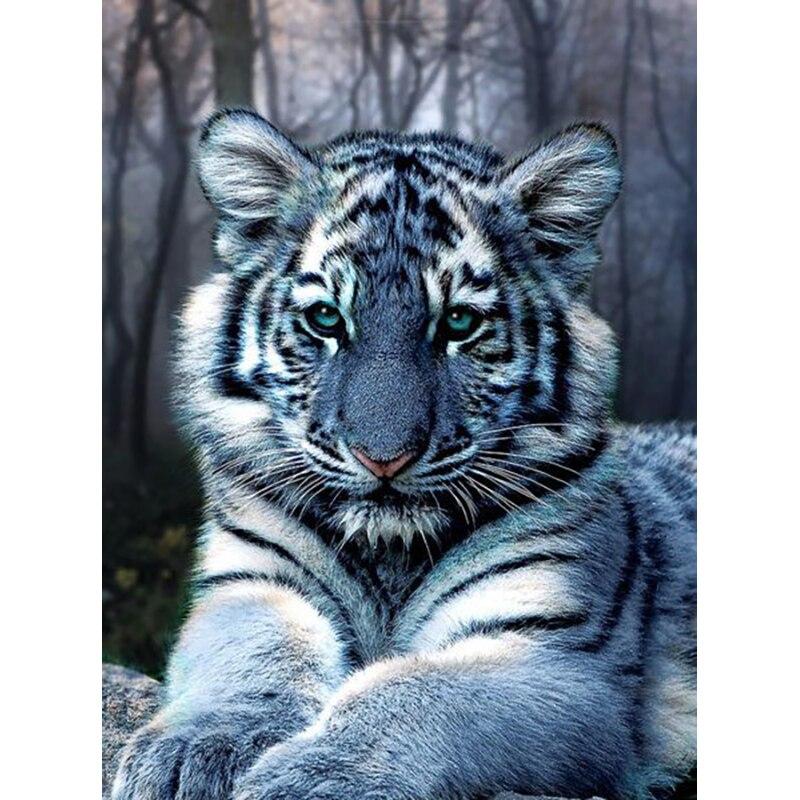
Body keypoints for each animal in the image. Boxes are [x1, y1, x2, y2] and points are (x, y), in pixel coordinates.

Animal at [112, 109, 696, 800]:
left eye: (460, 324)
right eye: (326, 319)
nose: (382, 457)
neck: (389, 553)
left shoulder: (558, 656)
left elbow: (414, 692)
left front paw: (312, 778)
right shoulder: (252, 584)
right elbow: (254, 654)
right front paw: (197, 750)